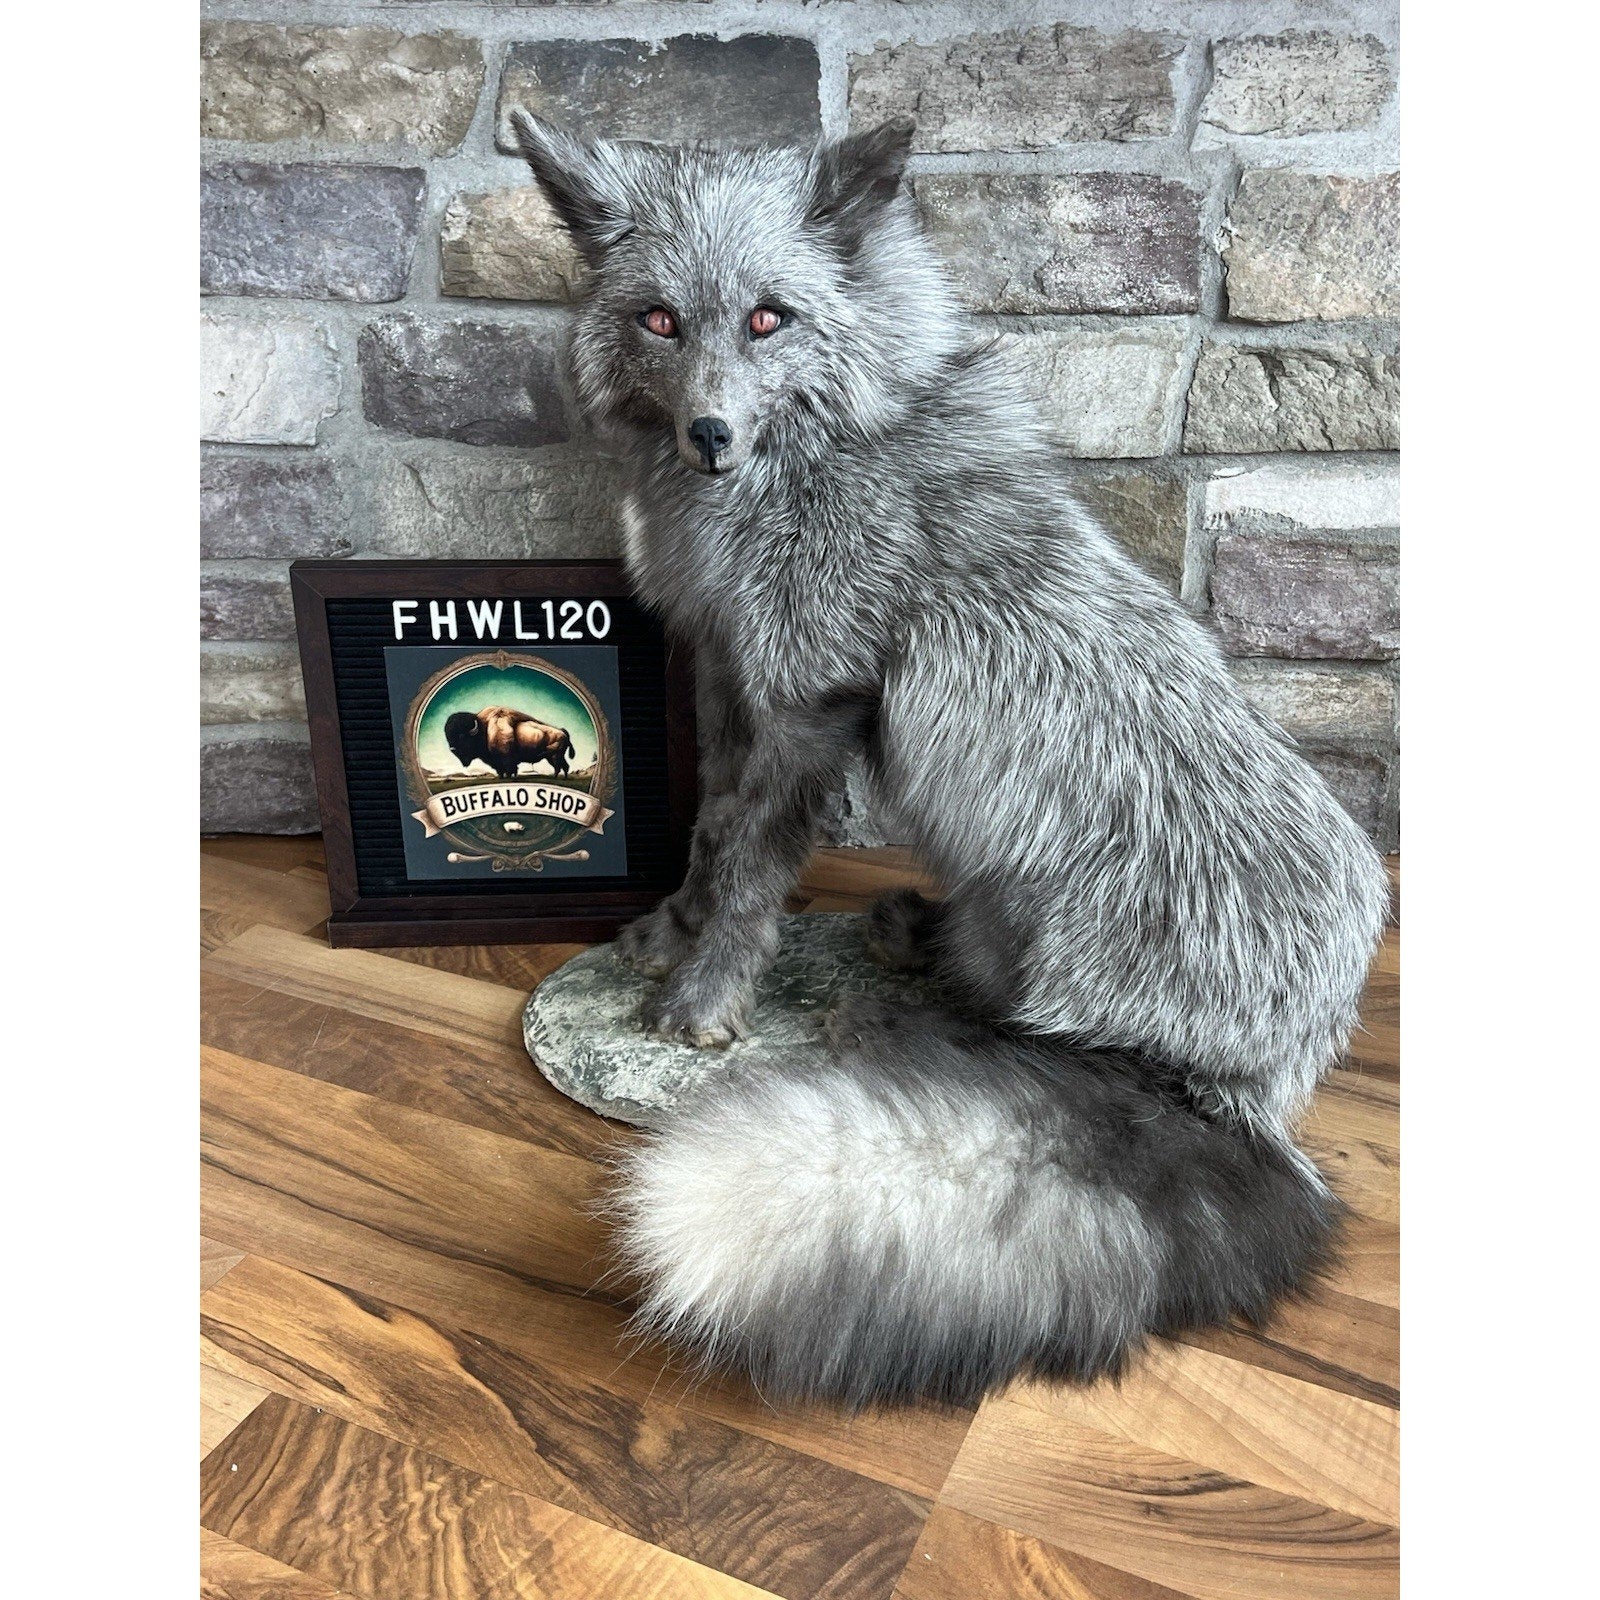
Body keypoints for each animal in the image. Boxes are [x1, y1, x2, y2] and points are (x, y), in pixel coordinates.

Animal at [510, 111, 1391, 1409]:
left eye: (768, 317)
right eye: (659, 320)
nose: (710, 435)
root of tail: (1271, 1090)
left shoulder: (809, 696)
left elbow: (753, 869)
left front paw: (705, 1000)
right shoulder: (725, 671)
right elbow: (710, 837)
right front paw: (667, 937)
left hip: (1058, 953)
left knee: (1024, 1043)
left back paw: (902, 1017)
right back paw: (911, 939)